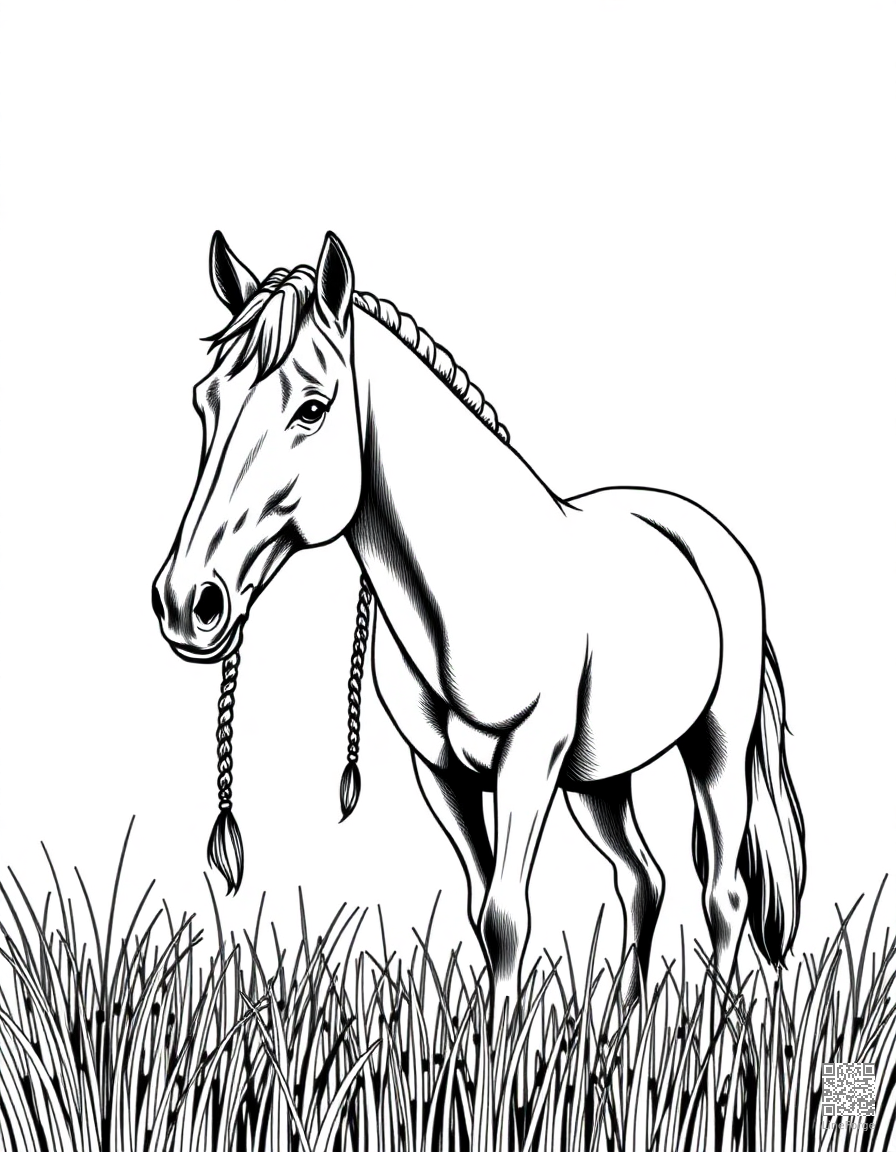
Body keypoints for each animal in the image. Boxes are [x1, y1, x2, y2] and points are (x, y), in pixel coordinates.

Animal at [152, 230, 806, 1027]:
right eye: (204, 402)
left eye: (311, 409)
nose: (187, 601)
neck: (474, 585)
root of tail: (711, 537)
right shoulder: (442, 774)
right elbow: (481, 909)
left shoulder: (528, 761)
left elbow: (505, 916)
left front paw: (506, 1057)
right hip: (597, 780)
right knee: (642, 881)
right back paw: (625, 1027)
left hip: (715, 748)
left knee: (724, 892)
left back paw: (718, 1030)